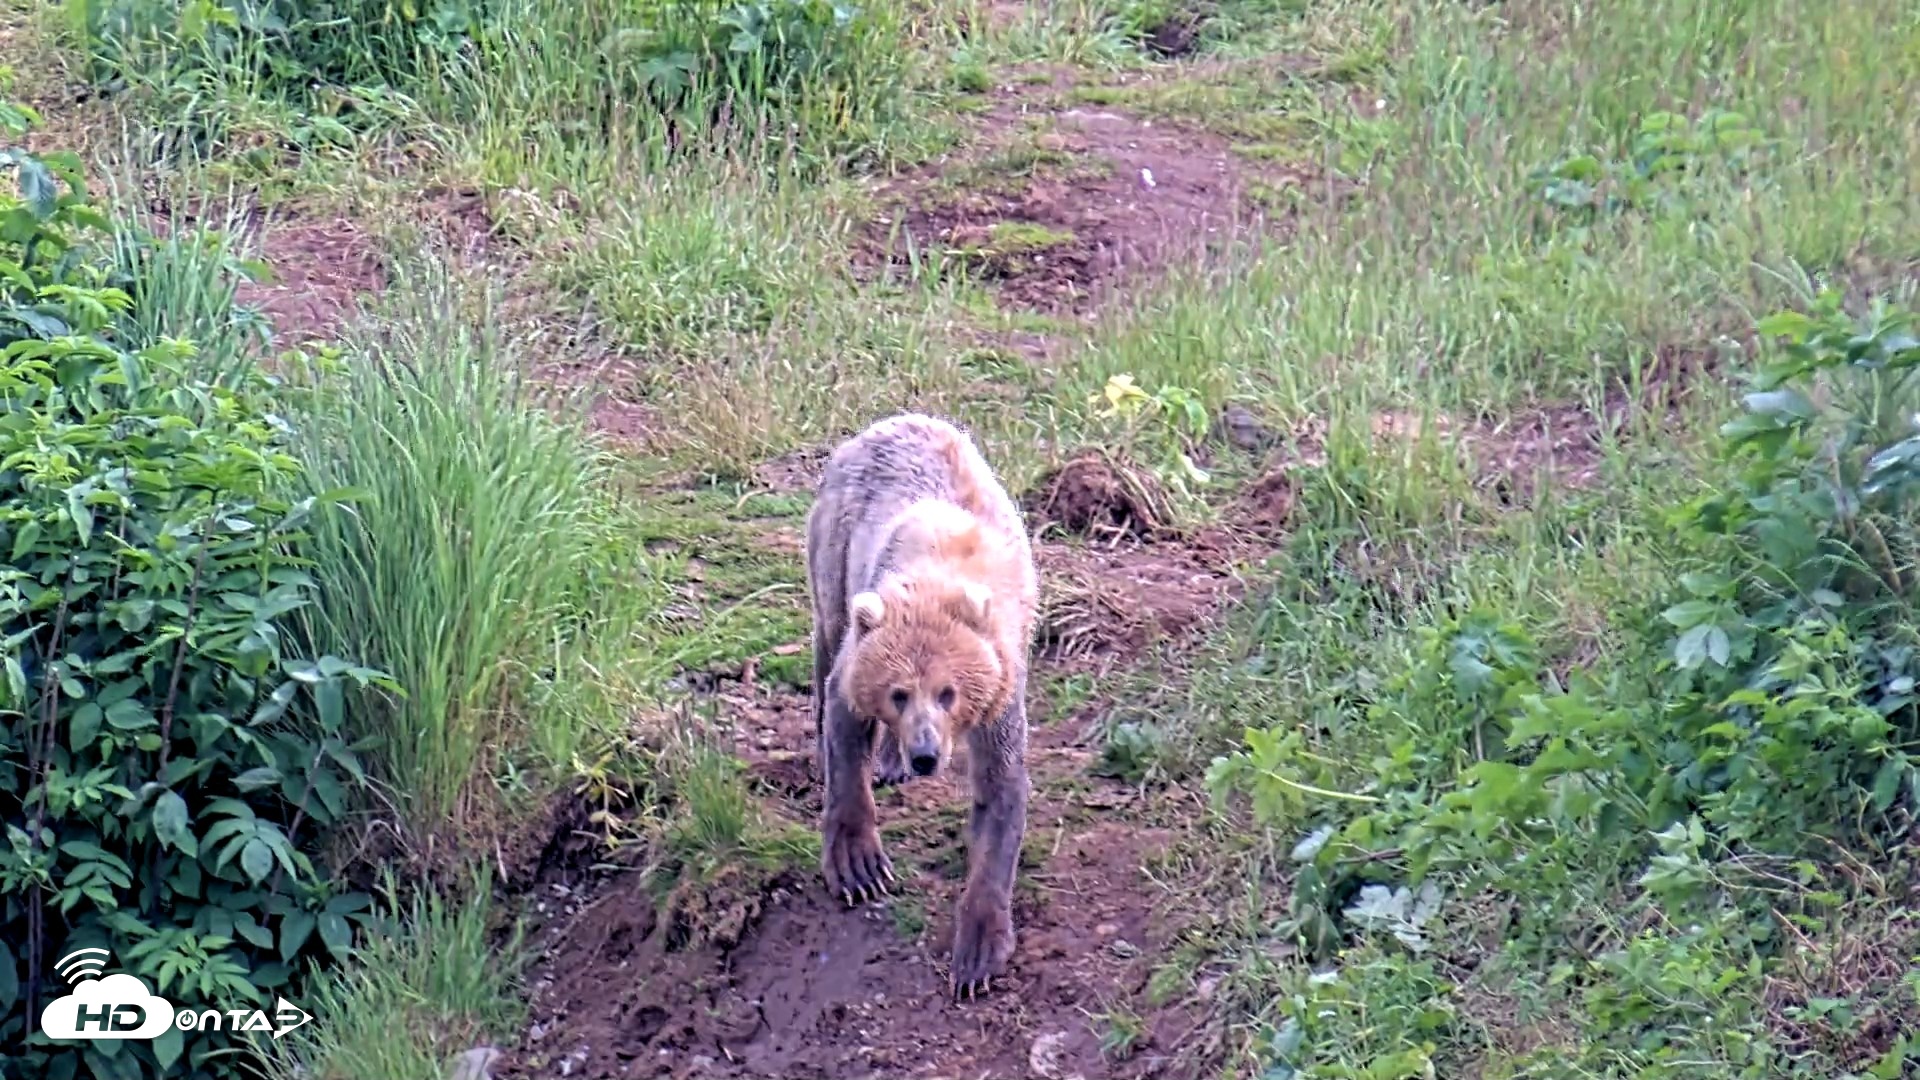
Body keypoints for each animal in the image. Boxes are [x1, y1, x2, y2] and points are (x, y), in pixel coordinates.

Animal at [804, 412, 1038, 1001]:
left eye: (949, 692)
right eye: (898, 692)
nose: (927, 754)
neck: (944, 580)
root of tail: (888, 422)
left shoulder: (1002, 687)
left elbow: (1000, 790)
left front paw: (977, 950)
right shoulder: (866, 641)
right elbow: (844, 717)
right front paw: (859, 865)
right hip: (834, 546)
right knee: (825, 636)